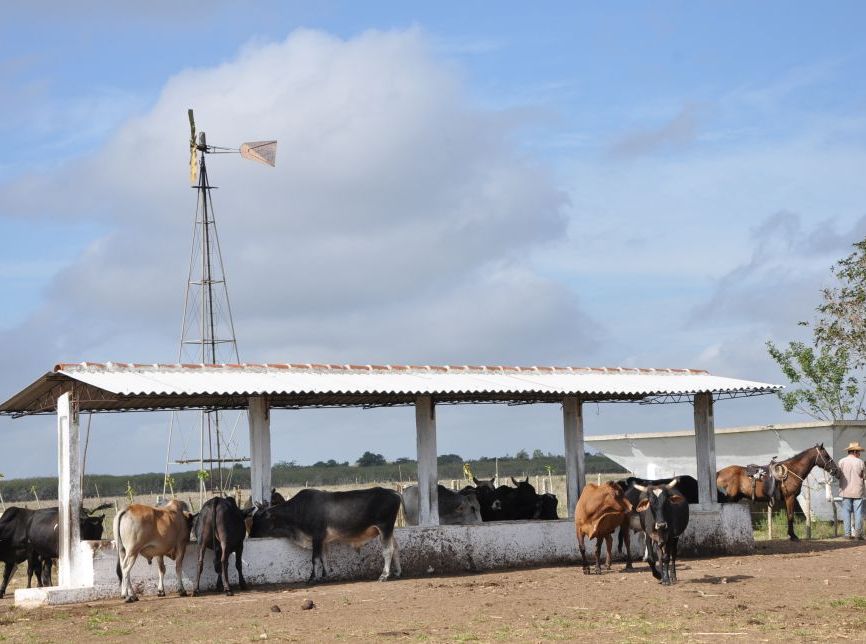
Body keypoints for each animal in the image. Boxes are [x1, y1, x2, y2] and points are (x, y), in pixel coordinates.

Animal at [246, 488, 402, 584]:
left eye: (258, 518)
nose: (251, 535)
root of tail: (394, 493)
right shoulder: (323, 540)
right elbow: (324, 557)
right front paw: (325, 576)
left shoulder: (316, 536)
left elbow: (315, 559)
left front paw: (312, 578)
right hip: (388, 531)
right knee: (395, 548)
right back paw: (397, 572)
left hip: (385, 527)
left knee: (387, 551)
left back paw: (384, 575)